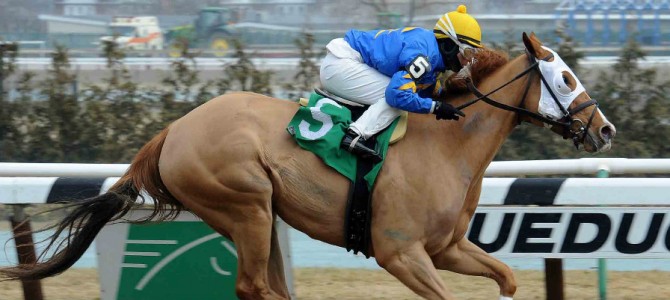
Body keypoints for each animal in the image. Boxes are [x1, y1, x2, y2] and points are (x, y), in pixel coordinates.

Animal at [1, 33, 620, 300]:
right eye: (565, 78)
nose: (605, 130)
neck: (446, 143)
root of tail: (172, 131)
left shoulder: (445, 247)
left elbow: (508, 277)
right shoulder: (400, 252)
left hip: (263, 215)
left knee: (265, 286)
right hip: (245, 205)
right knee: (254, 287)